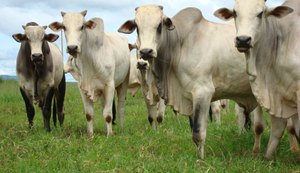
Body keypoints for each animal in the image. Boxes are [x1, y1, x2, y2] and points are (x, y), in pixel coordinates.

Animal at [117, 5, 264, 159]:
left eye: (159, 26)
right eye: (137, 28)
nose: (146, 51)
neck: (181, 45)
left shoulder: (203, 92)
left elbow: (198, 132)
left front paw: (200, 159)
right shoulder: (188, 96)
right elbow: (192, 127)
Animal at [214, 0, 300, 159]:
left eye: (260, 13)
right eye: (235, 13)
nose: (243, 40)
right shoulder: (272, 94)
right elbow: (266, 127)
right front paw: (261, 154)